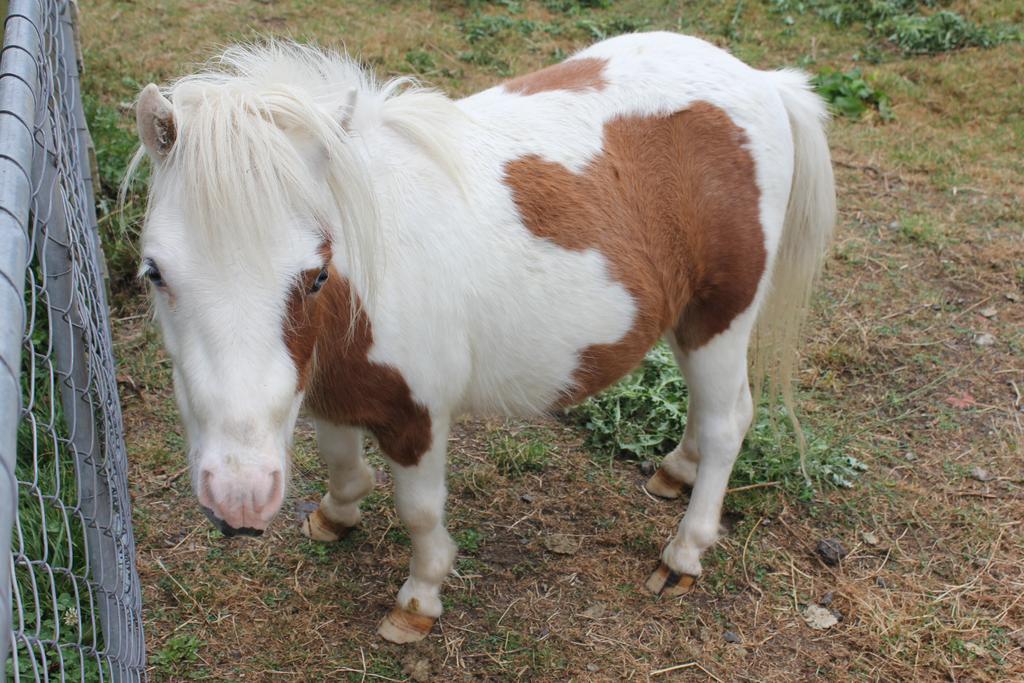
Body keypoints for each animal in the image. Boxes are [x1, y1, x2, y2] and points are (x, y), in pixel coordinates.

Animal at [132, 30, 835, 643]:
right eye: (155, 272)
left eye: (316, 275)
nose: (240, 500)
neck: (367, 271)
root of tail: (763, 81)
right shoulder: (331, 386)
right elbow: (339, 459)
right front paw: (335, 515)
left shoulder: (417, 415)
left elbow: (419, 512)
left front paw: (418, 603)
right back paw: (674, 471)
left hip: (721, 318)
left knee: (726, 422)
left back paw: (683, 554)